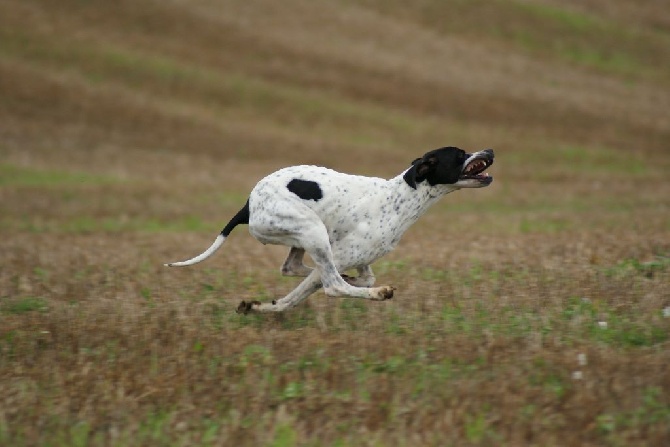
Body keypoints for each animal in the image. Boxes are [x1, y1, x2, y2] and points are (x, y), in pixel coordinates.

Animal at [166, 145, 496, 314]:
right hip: (312, 231)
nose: (490, 150)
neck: (400, 197)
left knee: (293, 267)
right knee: (331, 283)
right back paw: (373, 293)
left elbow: (357, 276)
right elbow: (310, 291)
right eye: (459, 154)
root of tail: (249, 204)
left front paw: (258, 306)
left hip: (307, 236)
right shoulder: (339, 256)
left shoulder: (358, 259)